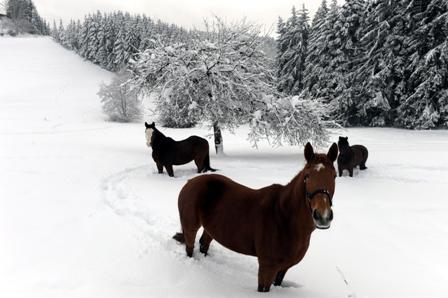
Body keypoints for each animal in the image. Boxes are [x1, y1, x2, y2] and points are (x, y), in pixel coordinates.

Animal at [173, 141, 338, 292]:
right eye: (307, 176)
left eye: (334, 176)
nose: (323, 216)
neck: (284, 217)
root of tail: (190, 182)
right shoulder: (267, 267)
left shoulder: (283, 269)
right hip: (191, 227)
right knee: (190, 247)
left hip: (211, 228)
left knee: (204, 244)